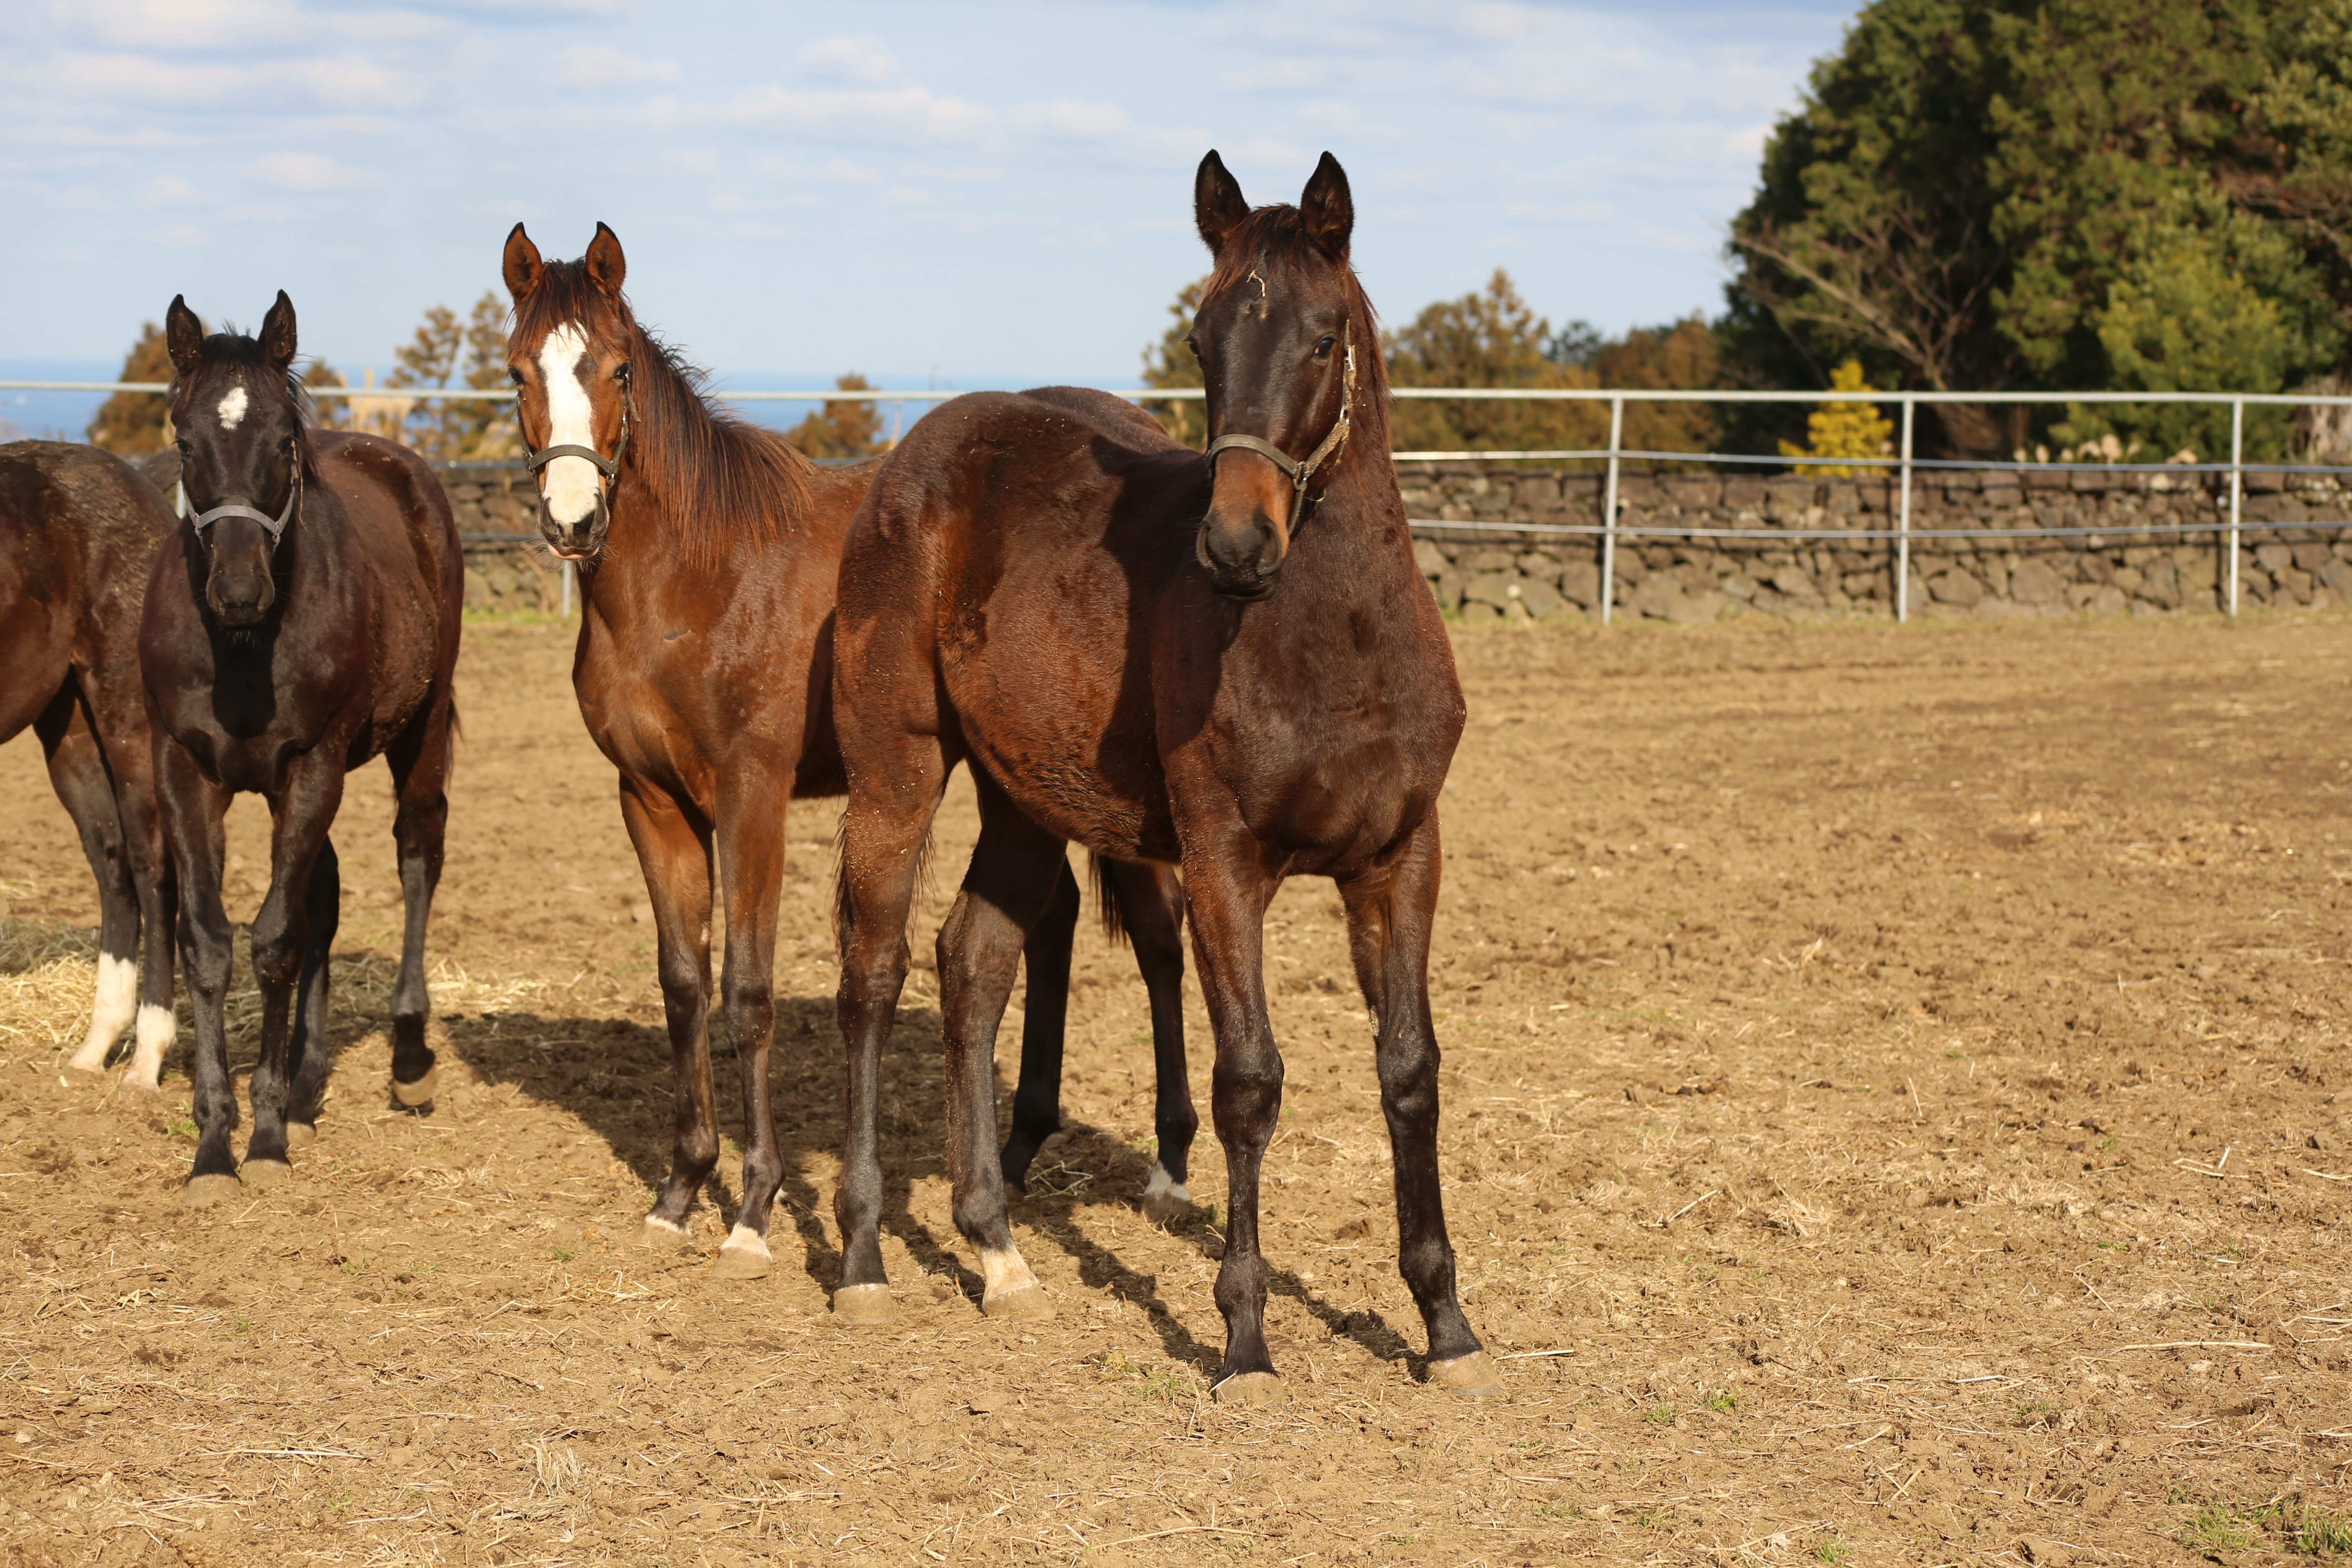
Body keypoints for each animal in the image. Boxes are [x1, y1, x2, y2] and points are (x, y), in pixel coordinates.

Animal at [0, 435, 177, 1086]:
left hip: (129, 723)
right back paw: (99, 1043)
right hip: (71, 738)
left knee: (154, 869)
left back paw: (148, 1056)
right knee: (114, 866)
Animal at [146, 294, 463, 1203]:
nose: (240, 590)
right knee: (325, 889)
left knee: (417, 855)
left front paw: (266, 1136)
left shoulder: (312, 766)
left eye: (284, 440)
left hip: (419, 733)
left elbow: (277, 939)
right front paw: (215, 1142)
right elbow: (213, 943)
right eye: (185, 440)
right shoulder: (184, 772)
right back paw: (311, 1075)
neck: (244, 652)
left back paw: (408, 1058)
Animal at [499, 223, 1195, 1288]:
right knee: (1052, 928)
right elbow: (682, 984)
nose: (573, 520)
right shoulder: (649, 799)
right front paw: (679, 1190)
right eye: (515, 371)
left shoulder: (751, 797)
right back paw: (1016, 1153)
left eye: (616, 368)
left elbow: (746, 992)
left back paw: (1167, 1169)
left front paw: (752, 1210)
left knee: (1158, 940)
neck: (697, 577)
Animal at [837, 147, 1496, 1401]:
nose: (1235, 547)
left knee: (974, 961)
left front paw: (1445, 1321)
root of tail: (911, 460)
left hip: (1022, 801)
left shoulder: (1403, 858)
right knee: (873, 972)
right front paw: (1242, 1336)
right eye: (1199, 341)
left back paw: (995, 1246)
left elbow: (1409, 1070)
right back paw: (858, 1254)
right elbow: (1250, 1079)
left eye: (1325, 338)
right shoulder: (1222, 861)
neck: (1337, 644)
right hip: (896, 769)